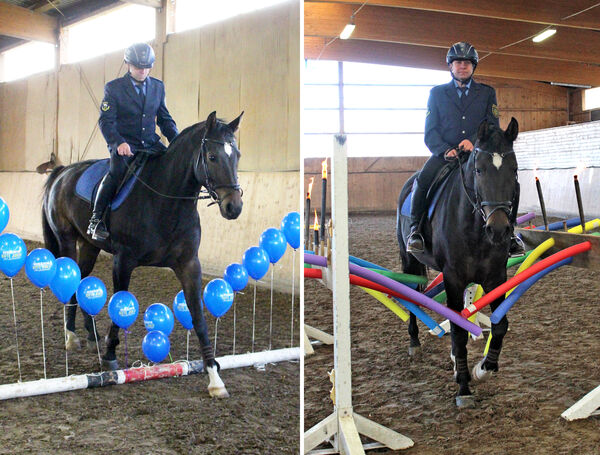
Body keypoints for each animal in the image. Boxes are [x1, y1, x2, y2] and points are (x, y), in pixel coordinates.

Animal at [41, 111, 244, 400]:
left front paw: (215, 378)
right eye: (212, 157)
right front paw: (110, 356)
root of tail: (62, 172)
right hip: (67, 240)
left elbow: (198, 317)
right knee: (71, 282)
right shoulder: (123, 261)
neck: (166, 202)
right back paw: (71, 336)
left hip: (90, 246)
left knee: (81, 281)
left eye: (236, 154)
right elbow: (119, 304)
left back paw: (91, 336)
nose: (233, 207)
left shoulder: (189, 265)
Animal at [396, 118, 516, 410]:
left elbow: (499, 325)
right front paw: (464, 387)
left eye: (514, 170)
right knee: (414, 299)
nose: (499, 230)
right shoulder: (453, 277)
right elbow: (459, 331)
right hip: (410, 261)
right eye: (479, 170)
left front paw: (483, 368)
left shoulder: (496, 276)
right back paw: (414, 342)